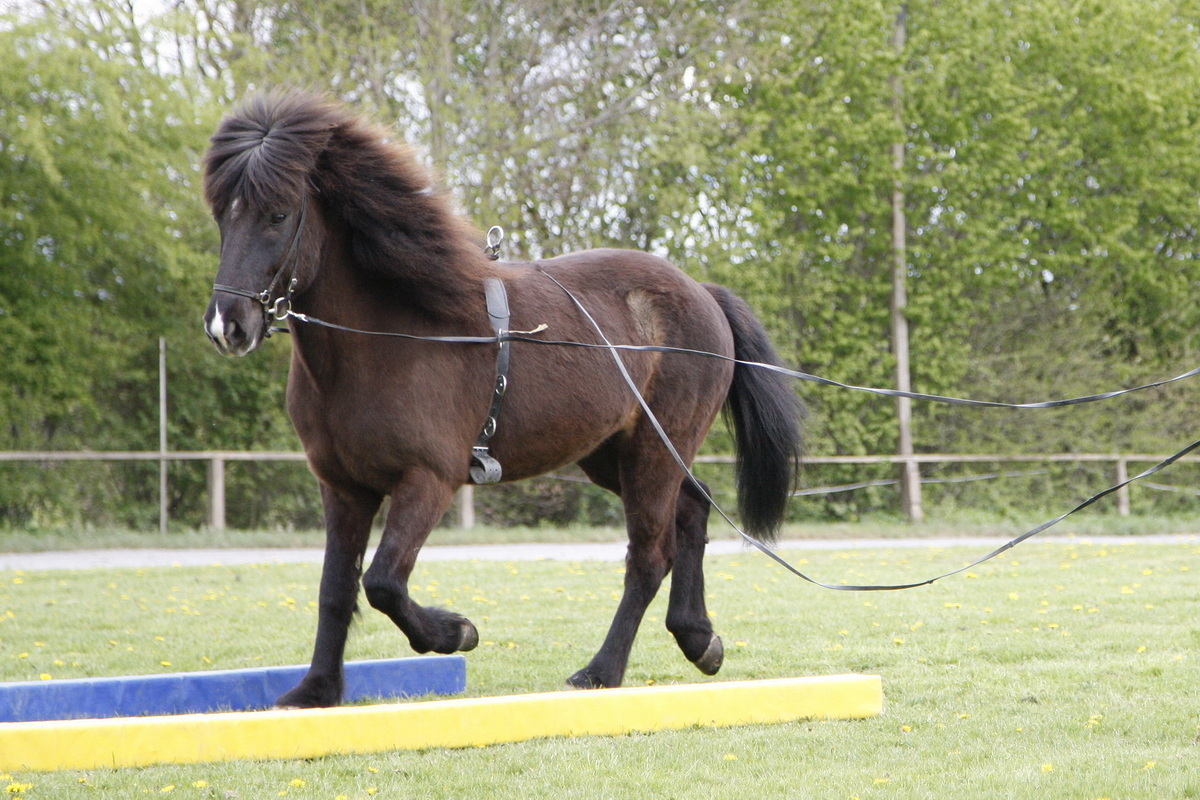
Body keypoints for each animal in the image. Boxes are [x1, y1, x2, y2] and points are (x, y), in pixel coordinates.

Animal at [201, 89, 803, 708]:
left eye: (278, 214)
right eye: (222, 212)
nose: (228, 326)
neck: (387, 336)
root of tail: (700, 292)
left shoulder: (429, 478)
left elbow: (383, 581)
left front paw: (454, 631)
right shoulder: (344, 488)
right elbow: (336, 588)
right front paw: (317, 688)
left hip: (653, 453)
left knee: (649, 555)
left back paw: (602, 670)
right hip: (615, 455)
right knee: (692, 508)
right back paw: (698, 638)